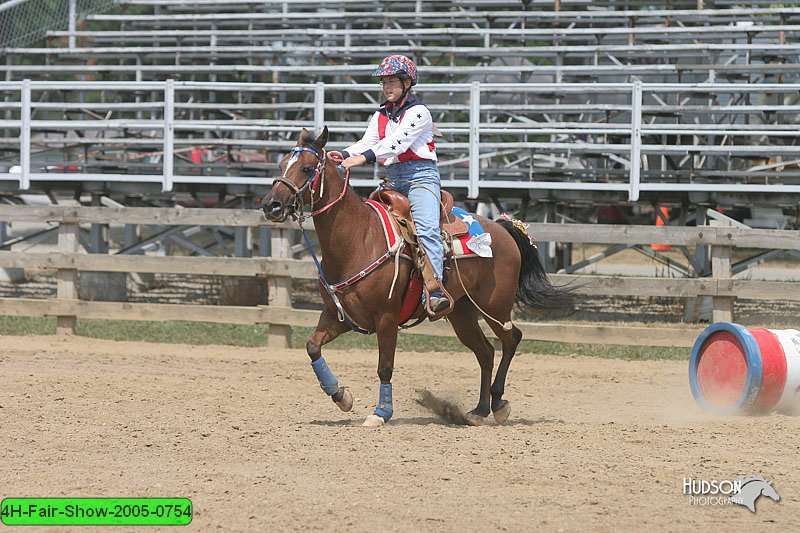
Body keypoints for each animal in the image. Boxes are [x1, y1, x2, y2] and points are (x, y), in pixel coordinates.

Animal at [260, 127, 572, 426]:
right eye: (282, 164)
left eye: (306, 167)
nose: (271, 205)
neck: (359, 238)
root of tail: (503, 229)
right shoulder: (339, 316)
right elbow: (312, 347)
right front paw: (340, 396)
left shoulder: (386, 318)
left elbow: (385, 367)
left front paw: (381, 412)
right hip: (462, 313)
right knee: (485, 351)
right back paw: (479, 410)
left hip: (494, 306)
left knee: (511, 340)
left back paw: (498, 404)